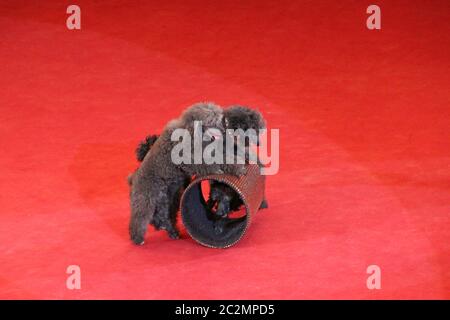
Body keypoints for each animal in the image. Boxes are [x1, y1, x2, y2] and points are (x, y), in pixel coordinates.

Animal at [126, 102, 246, 245]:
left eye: (221, 118)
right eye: (212, 120)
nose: (224, 130)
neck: (191, 133)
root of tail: (133, 178)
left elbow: (222, 159)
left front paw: (237, 167)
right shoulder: (189, 159)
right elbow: (206, 165)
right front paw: (218, 170)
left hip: (169, 201)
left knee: (164, 217)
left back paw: (172, 232)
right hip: (146, 199)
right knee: (139, 219)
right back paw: (137, 238)